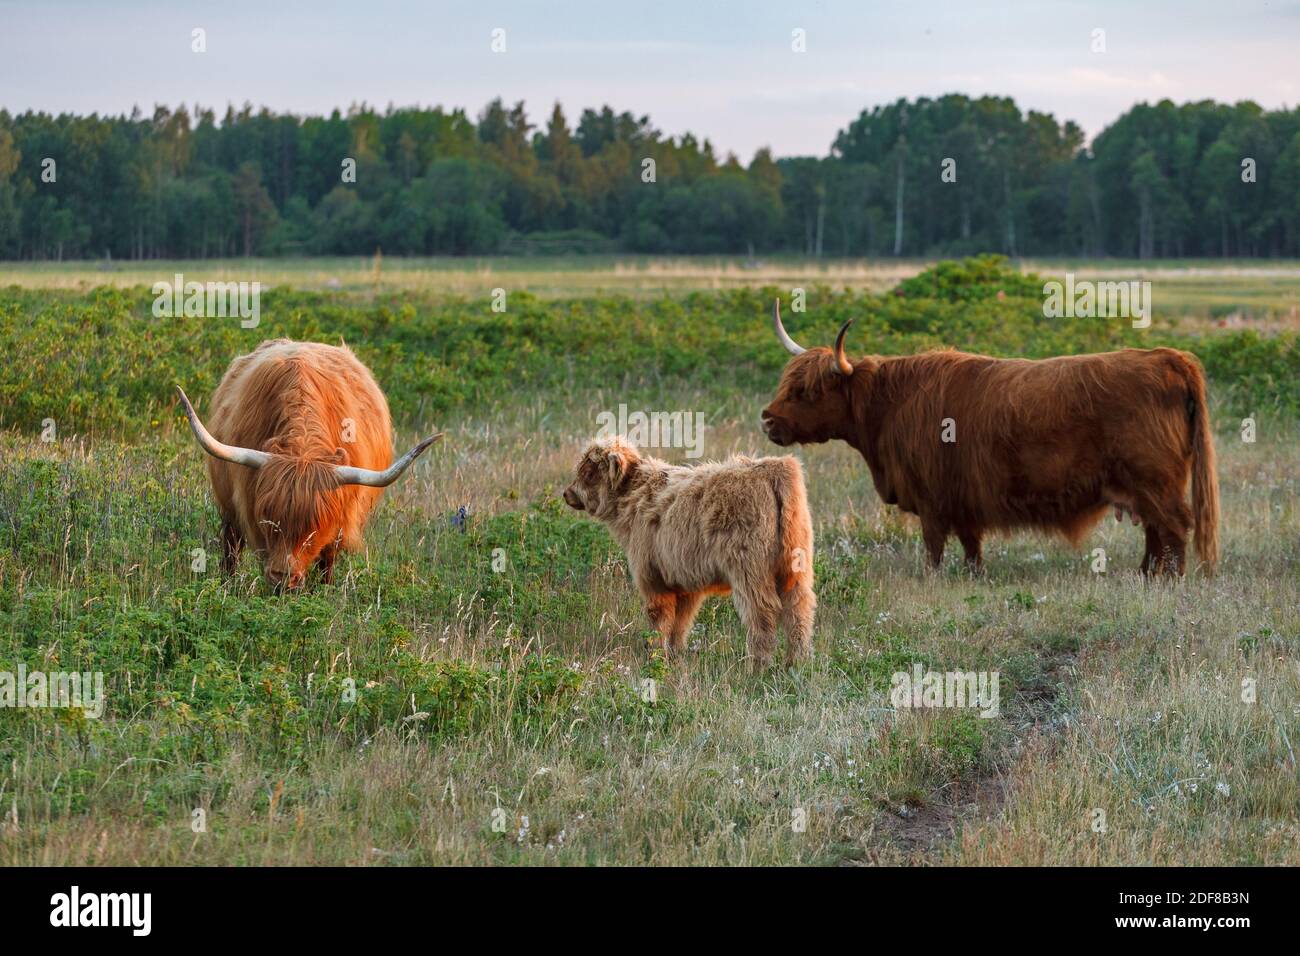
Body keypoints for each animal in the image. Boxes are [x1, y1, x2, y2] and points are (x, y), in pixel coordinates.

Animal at [563, 437, 816, 670]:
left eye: (589, 472)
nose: (566, 493)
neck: (632, 498)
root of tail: (772, 466)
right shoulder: (684, 579)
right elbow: (681, 620)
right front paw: (675, 654)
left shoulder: (652, 575)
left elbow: (659, 617)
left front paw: (655, 656)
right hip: (795, 565)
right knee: (799, 608)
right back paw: (796, 663)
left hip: (750, 568)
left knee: (763, 612)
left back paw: (757, 667)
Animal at [760, 300, 1219, 576]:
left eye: (807, 391)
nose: (767, 419)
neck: (888, 405)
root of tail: (1167, 357)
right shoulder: (963, 496)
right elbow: (970, 543)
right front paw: (974, 574)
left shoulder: (932, 498)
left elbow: (934, 546)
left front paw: (933, 578)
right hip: (1146, 487)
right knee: (1157, 532)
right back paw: (1146, 576)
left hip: (1155, 481)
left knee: (1174, 528)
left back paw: (1169, 580)